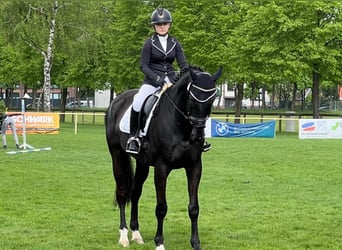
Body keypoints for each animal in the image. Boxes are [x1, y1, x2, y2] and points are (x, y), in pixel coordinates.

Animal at [104, 66, 222, 250]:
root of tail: (116, 101)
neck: (181, 126)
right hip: (118, 156)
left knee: (135, 192)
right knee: (123, 192)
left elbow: (194, 207)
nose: (198, 136)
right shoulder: (162, 168)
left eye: (212, 100)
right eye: (192, 99)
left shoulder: (194, 167)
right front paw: (159, 242)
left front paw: (195, 243)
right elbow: (161, 207)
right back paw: (123, 236)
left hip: (142, 163)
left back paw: (136, 234)